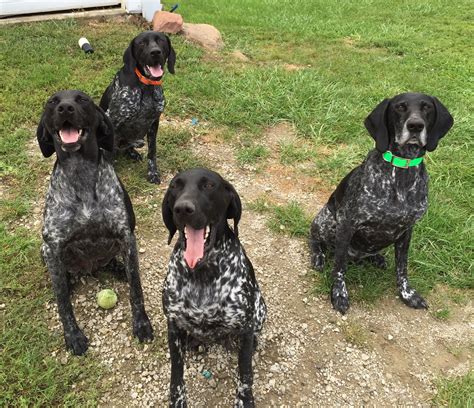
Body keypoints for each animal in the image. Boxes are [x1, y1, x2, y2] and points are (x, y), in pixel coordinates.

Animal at [38, 89, 155, 354]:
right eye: (52, 102)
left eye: (82, 99)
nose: (65, 108)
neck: (80, 172)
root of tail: (88, 268)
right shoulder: (52, 247)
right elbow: (63, 302)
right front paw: (73, 335)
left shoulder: (126, 236)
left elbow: (136, 289)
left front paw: (141, 324)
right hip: (44, 252)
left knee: (114, 262)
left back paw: (119, 268)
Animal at [100, 31, 176, 184]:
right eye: (141, 43)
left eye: (161, 40)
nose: (155, 52)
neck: (146, 86)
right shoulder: (112, 121)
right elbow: (108, 158)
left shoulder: (154, 123)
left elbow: (152, 152)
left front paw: (152, 173)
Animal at [162, 168, 266, 408]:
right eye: (175, 186)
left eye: (209, 185)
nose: (183, 208)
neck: (203, 273)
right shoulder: (173, 325)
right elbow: (176, 373)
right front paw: (178, 400)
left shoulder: (246, 324)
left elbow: (245, 372)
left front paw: (245, 400)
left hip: (260, 308)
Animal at [310, 92, 454, 314]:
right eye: (400, 107)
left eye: (427, 107)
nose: (415, 126)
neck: (402, 169)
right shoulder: (347, 224)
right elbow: (339, 267)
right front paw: (339, 294)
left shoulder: (406, 231)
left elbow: (402, 268)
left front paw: (407, 294)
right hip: (327, 221)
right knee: (316, 238)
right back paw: (319, 257)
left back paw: (376, 258)